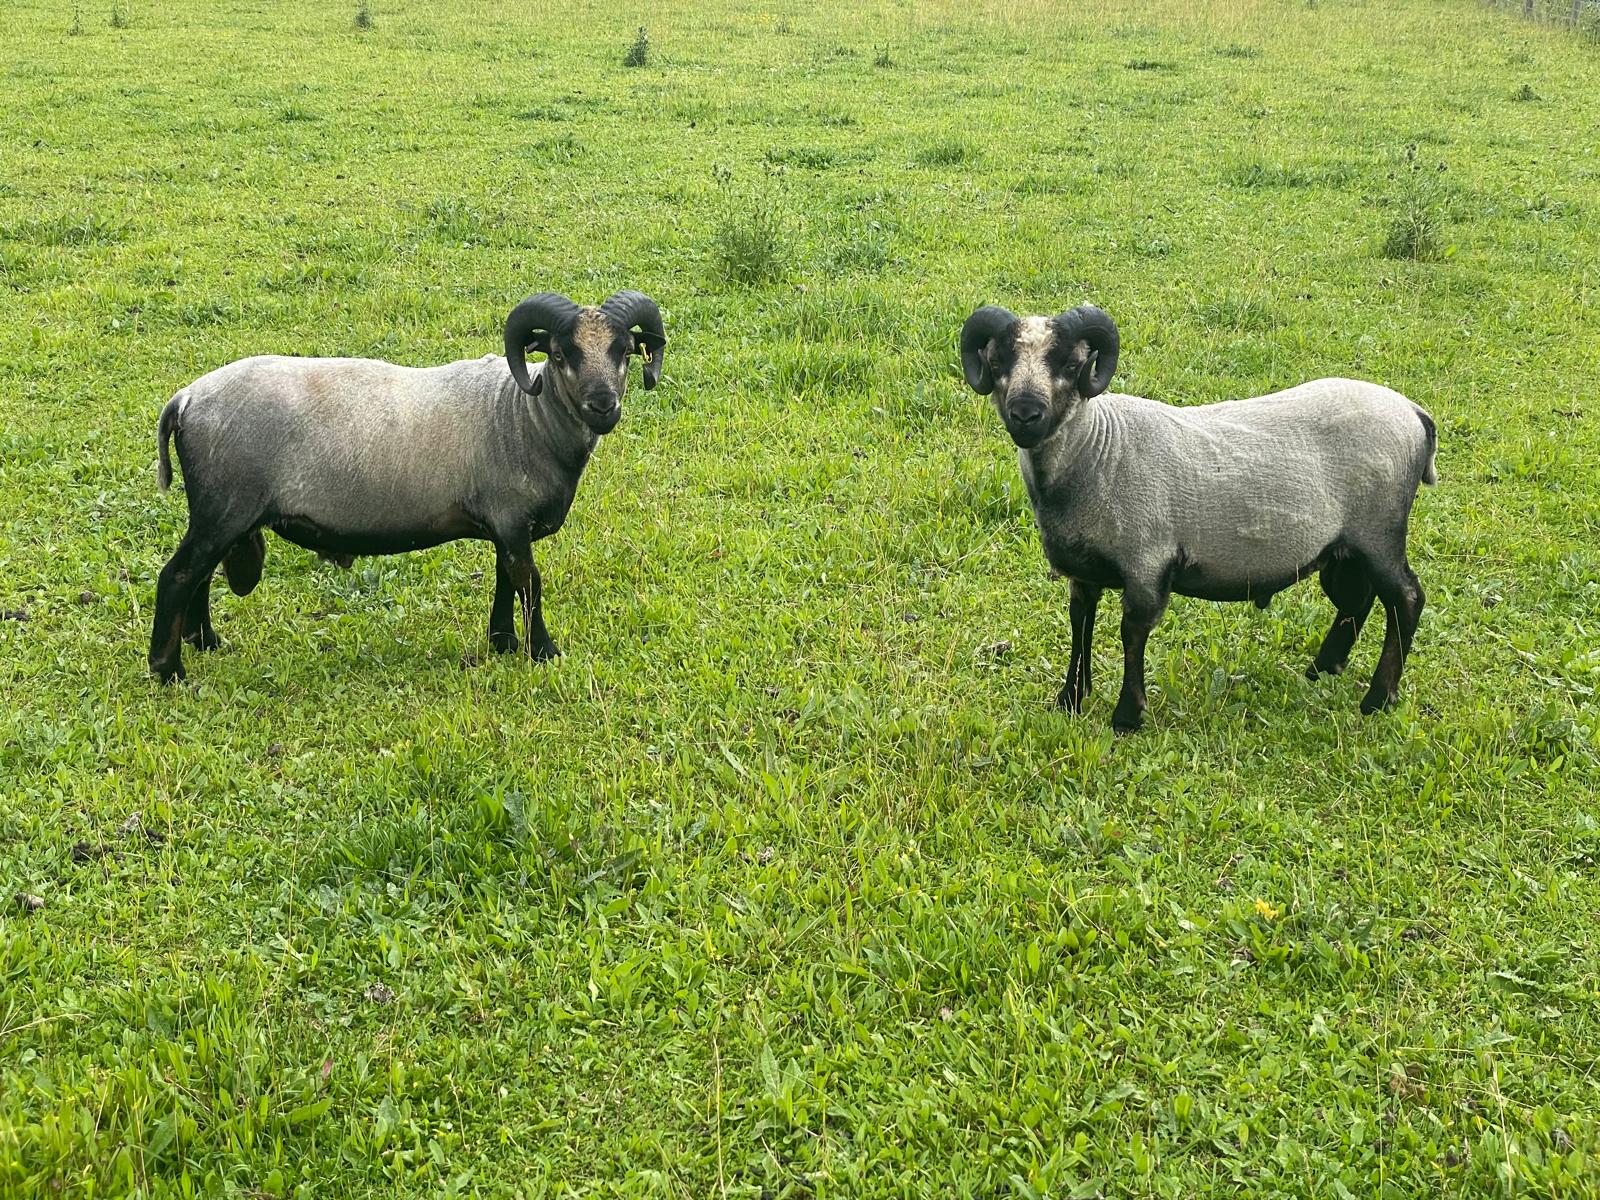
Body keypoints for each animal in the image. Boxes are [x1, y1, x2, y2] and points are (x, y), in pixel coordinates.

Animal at [148, 290, 666, 683]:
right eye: (560, 355)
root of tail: (184, 400)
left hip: (223, 515)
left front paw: (501, 643)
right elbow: (529, 583)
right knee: (178, 576)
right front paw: (543, 651)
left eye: (624, 352)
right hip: (224, 507)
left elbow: (505, 579)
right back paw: (168, 670)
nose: (603, 406)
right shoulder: (512, 519)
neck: (522, 415)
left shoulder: (504, 526)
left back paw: (206, 642)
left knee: (199, 575)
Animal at [959, 303, 1437, 732]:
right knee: (1357, 600)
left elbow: (1132, 633)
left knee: (1406, 599)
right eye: (998, 361)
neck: (1099, 448)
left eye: (1072, 364)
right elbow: (1081, 623)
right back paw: (1323, 669)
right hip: (1343, 548)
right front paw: (1070, 699)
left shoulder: (1147, 563)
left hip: (1379, 531)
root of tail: (1415, 413)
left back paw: (1377, 699)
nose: (1025, 415)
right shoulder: (1083, 572)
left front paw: (1127, 717)